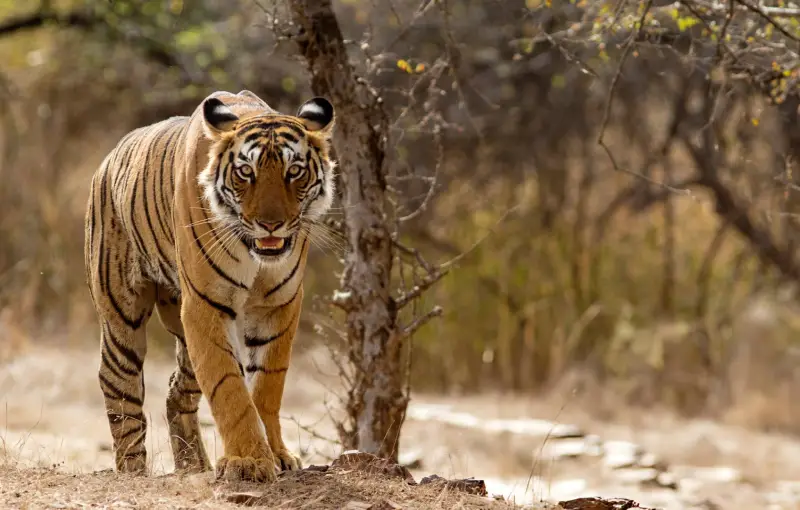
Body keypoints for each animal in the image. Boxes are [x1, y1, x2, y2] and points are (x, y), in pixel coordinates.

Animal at [83, 89, 336, 482]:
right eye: (246, 172)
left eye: (294, 171)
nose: (270, 225)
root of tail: (108, 159)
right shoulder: (206, 304)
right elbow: (228, 386)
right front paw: (248, 461)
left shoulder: (278, 304)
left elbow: (267, 385)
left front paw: (276, 454)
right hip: (122, 316)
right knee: (118, 387)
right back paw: (133, 471)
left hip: (182, 336)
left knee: (177, 391)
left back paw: (193, 465)